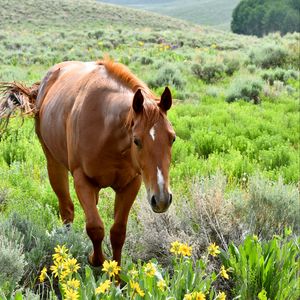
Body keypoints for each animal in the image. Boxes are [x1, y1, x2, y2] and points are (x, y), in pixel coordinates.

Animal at [0, 58, 176, 268]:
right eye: (137, 141)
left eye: (172, 138)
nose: (162, 199)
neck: (108, 130)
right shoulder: (82, 180)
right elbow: (95, 227)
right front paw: (96, 260)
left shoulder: (131, 183)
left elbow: (118, 232)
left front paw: (115, 274)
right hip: (54, 163)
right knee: (67, 211)